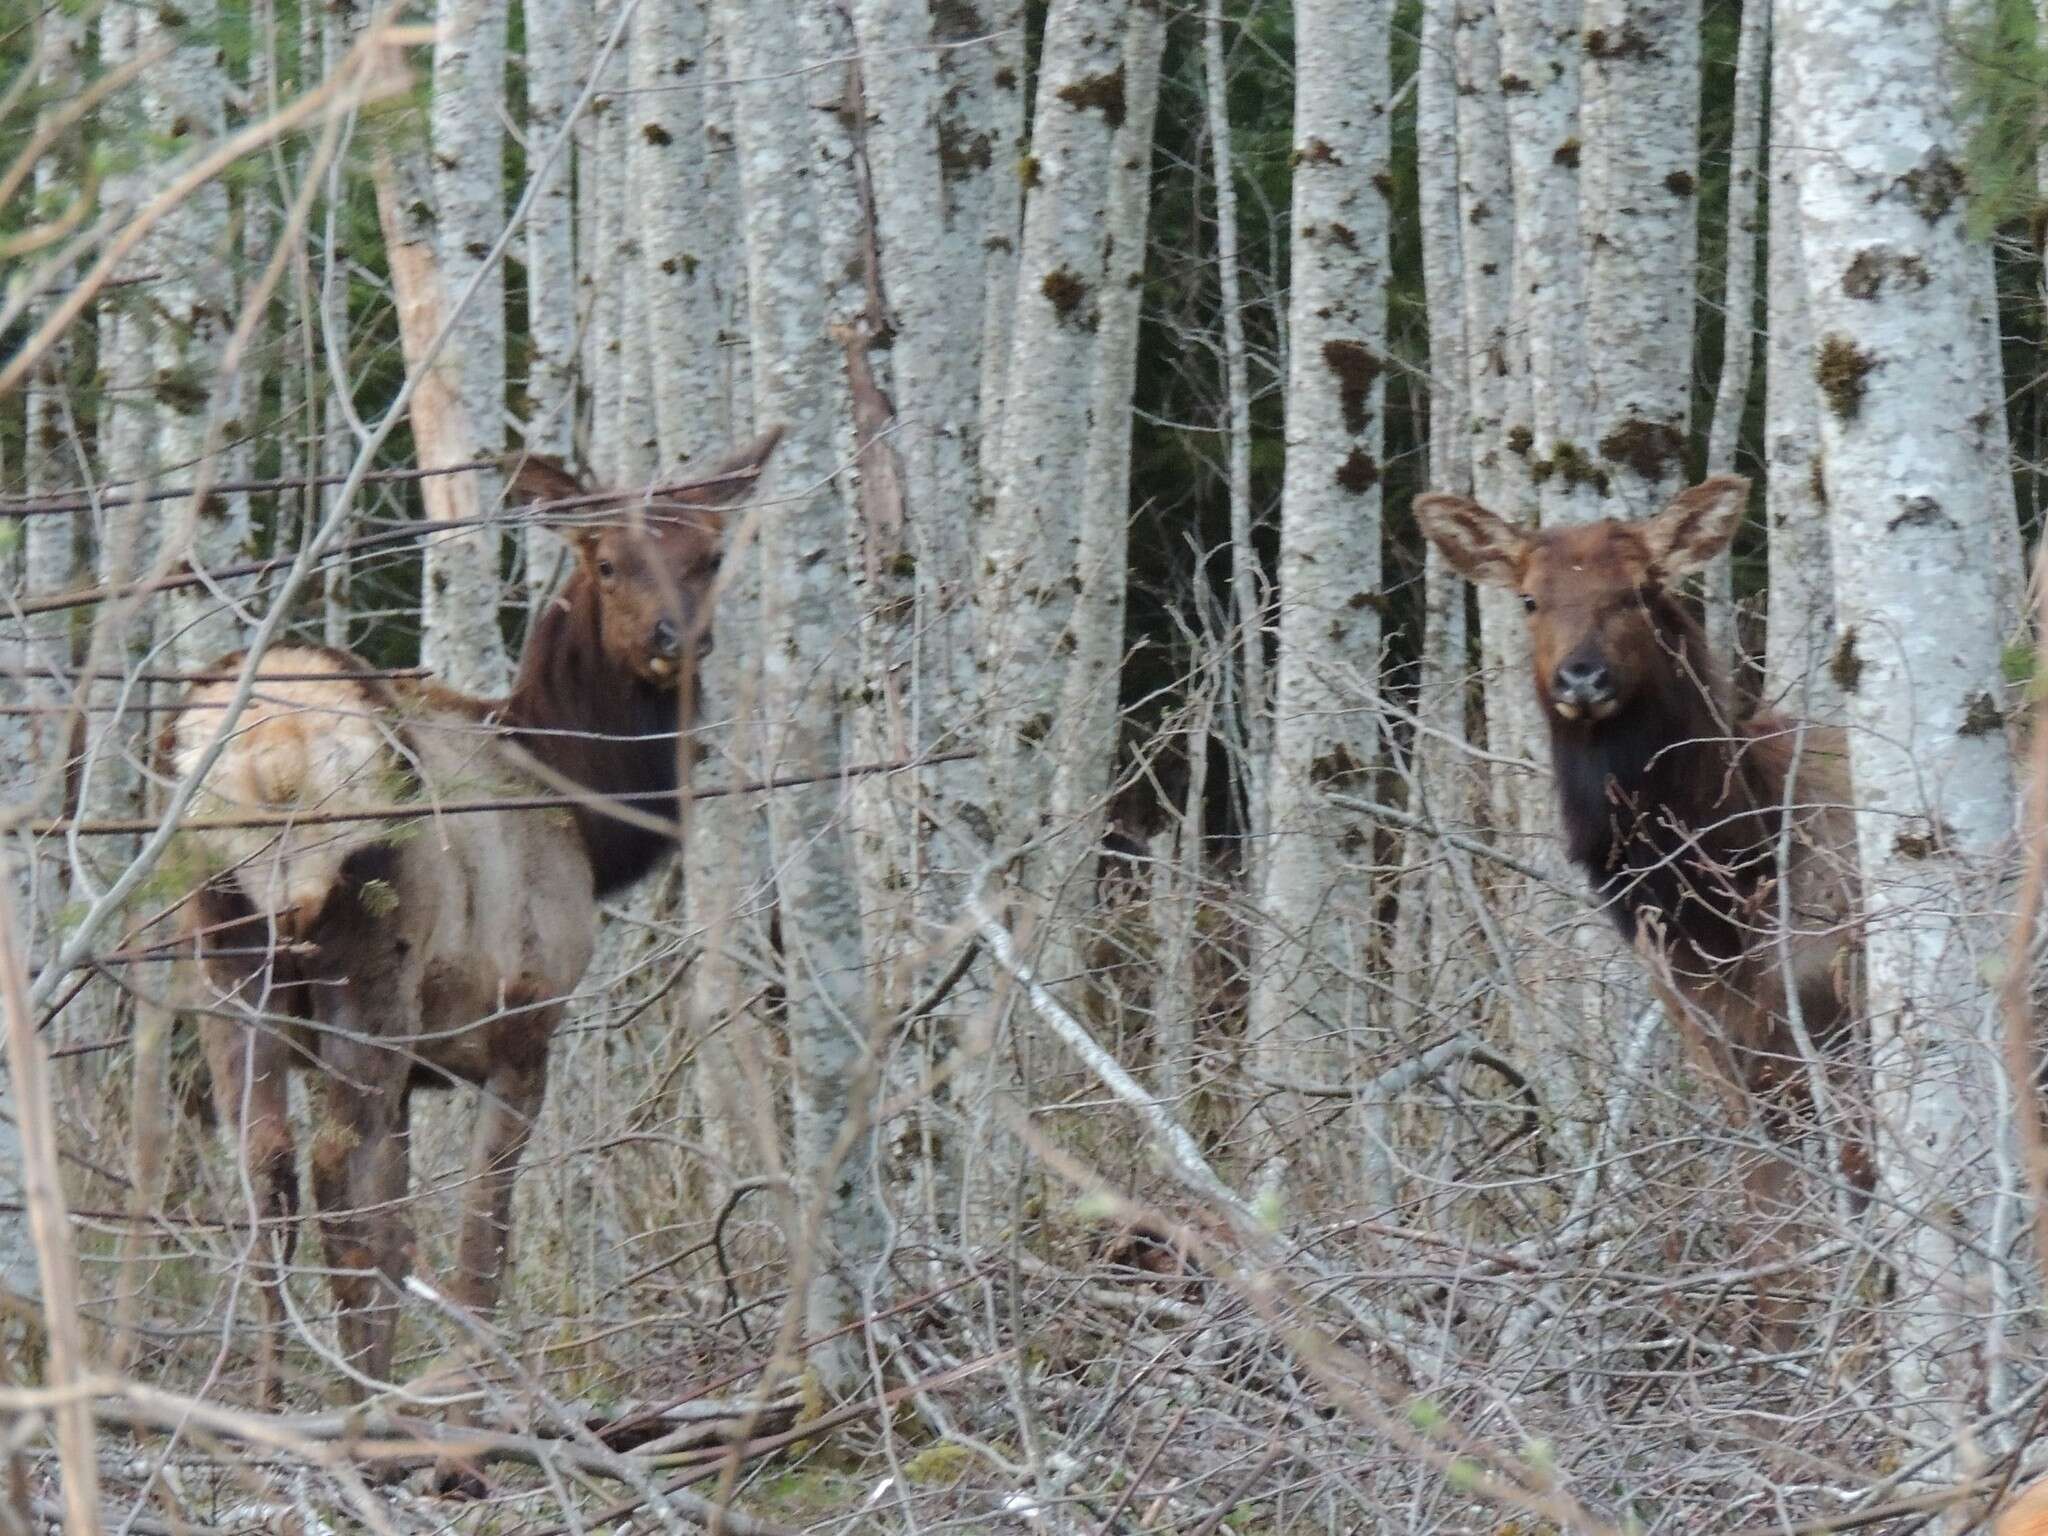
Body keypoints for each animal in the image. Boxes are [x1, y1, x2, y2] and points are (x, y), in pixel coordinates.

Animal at [161, 428, 774, 1417]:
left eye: (710, 555)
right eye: (607, 559)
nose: (674, 641)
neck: (589, 817)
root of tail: (276, 754)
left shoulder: (417, 1068)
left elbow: (405, 1227)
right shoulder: (525, 1016)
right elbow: (483, 1231)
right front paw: (469, 1388)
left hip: (226, 955)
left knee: (266, 1168)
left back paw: (269, 1394)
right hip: (367, 958)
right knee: (333, 1174)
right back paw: (354, 1395)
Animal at [1417, 475, 1867, 1343]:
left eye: (1637, 592)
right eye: (1530, 597)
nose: (1582, 678)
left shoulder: (1843, 1025)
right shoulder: (1720, 1051)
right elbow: (1773, 1252)